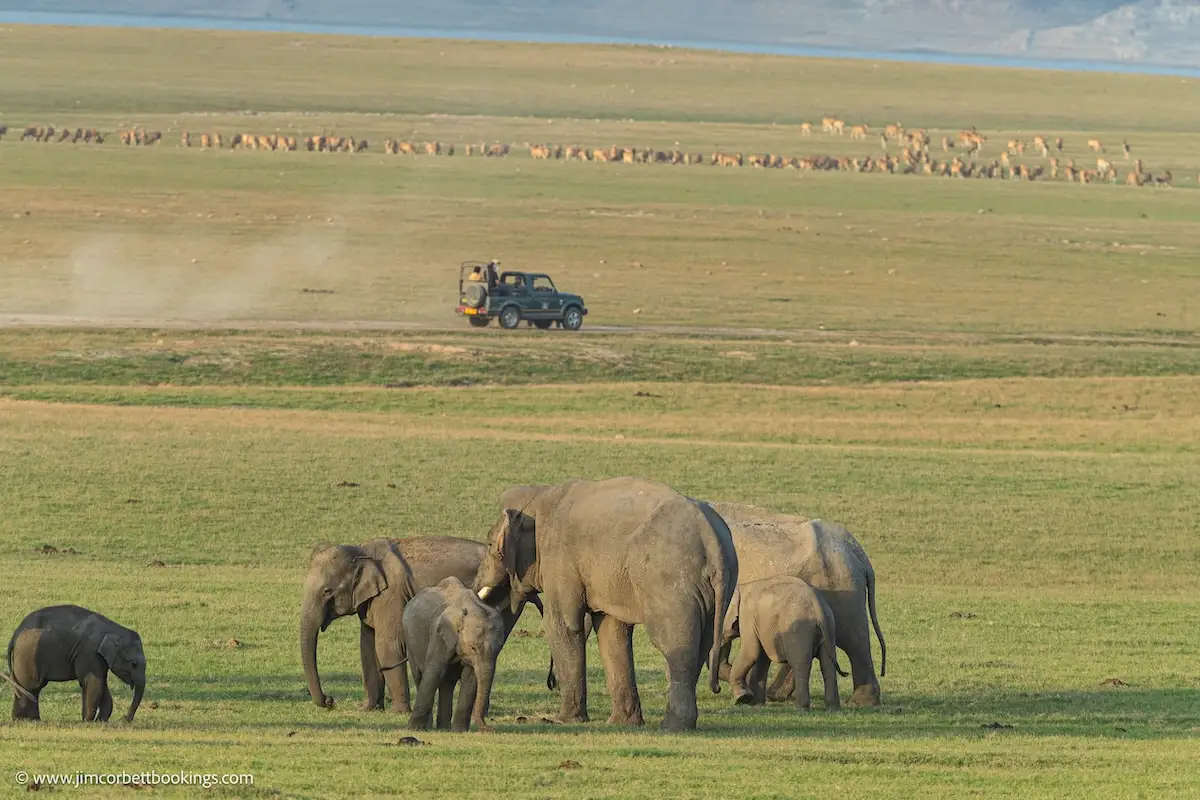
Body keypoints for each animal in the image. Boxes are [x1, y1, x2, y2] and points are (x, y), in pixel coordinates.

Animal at [7, 605, 146, 722]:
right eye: (133, 664)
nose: (124, 719)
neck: (113, 629)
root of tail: (16, 633)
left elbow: (102, 683)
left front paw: (100, 721)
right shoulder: (89, 652)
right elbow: (94, 682)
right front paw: (87, 721)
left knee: (32, 688)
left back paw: (31, 720)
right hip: (27, 656)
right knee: (30, 686)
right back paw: (23, 720)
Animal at [300, 536, 539, 714]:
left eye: (327, 591)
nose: (330, 700)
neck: (363, 549)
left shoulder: (391, 595)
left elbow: (387, 646)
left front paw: (399, 712)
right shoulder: (371, 601)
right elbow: (367, 646)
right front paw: (368, 709)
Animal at [403, 576, 506, 732]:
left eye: (499, 648)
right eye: (472, 647)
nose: (490, 729)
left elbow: (470, 678)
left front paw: (460, 731)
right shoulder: (439, 634)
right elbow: (434, 672)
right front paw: (414, 729)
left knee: (447, 682)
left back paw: (444, 728)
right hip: (410, 642)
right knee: (421, 676)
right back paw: (429, 726)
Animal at [474, 476, 738, 732]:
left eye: (489, 545)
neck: (541, 495)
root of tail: (712, 540)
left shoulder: (559, 557)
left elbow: (564, 625)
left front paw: (564, 721)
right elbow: (612, 630)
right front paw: (623, 723)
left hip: (670, 583)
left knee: (675, 646)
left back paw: (673, 727)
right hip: (713, 591)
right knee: (702, 644)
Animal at [722, 577, 845, 711]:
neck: (741, 587)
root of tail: (819, 610)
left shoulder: (748, 616)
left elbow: (751, 651)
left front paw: (742, 699)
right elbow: (762, 658)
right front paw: (757, 703)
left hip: (800, 631)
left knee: (801, 665)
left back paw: (801, 709)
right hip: (829, 628)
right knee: (827, 665)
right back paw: (833, 708)